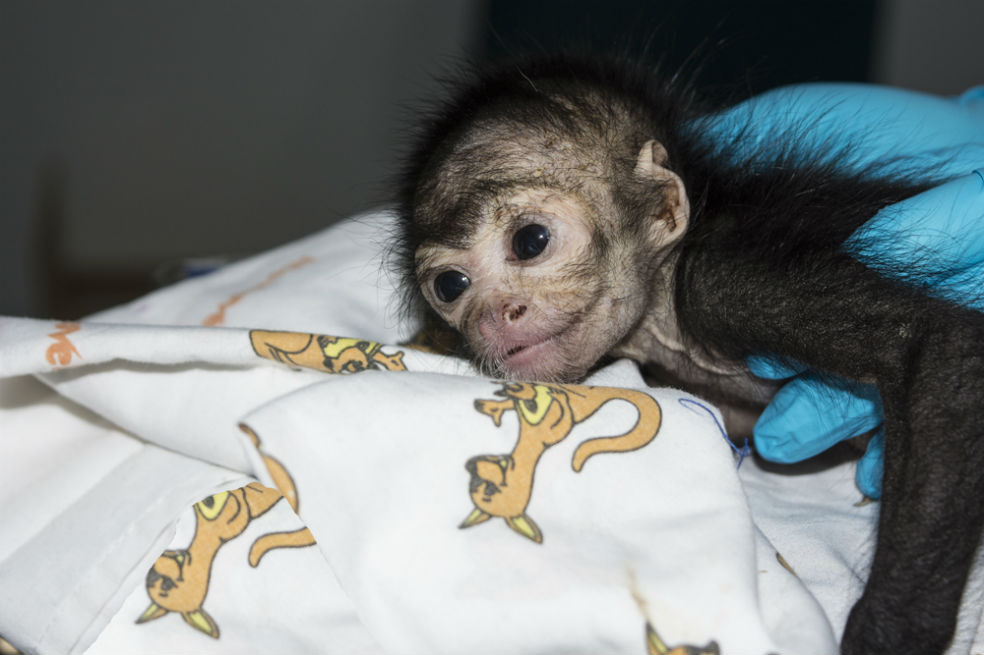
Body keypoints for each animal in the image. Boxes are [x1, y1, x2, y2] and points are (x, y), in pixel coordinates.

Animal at [393, 54, 984, 654]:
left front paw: (889, 632)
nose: (493, 315)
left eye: (531, 241)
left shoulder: (724, 282)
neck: (661, 313)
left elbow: (936, 341)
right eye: (450, 286)